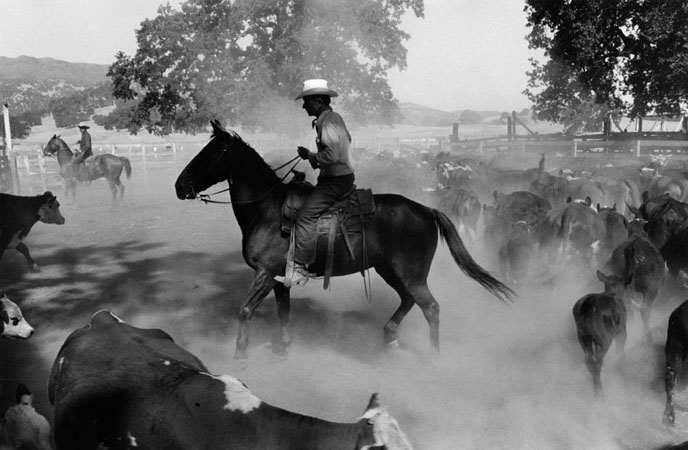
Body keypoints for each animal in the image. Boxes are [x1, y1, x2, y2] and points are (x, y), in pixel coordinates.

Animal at [175, 120, 514, 360]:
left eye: (211, 154)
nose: (179, 186)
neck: (267, 209)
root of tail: (427, 209)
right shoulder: (278, 277)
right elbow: (283, 312)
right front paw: (283, 349)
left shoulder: (264, 273)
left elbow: (245, 310)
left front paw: (240, 355)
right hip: (389, 269)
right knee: (408, 300)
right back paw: (389, 336)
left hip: (411, 272)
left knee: (430, 307)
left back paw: (433, 357)